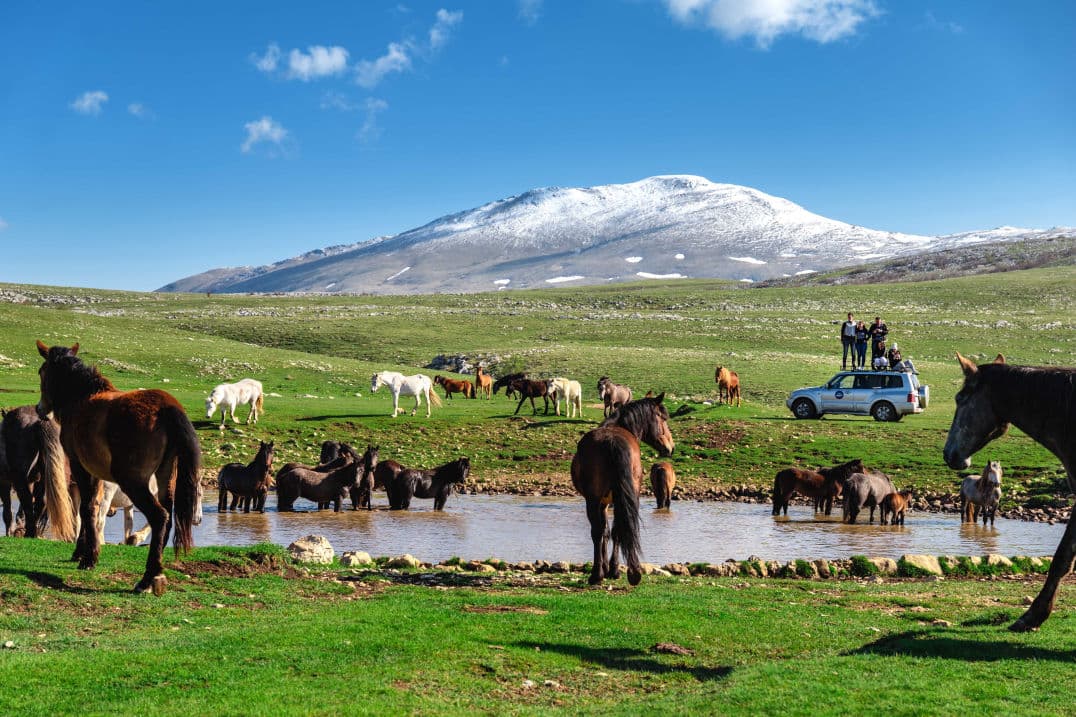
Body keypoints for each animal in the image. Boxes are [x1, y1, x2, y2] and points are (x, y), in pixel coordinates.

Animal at [0, 405, 72, 539]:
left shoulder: (4, 482)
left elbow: (8, 510)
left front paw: (9, 532)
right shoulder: (32, 481)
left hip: (20, 479)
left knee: (27, 500)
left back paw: (30, 532)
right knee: (41, 501)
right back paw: (34, 532)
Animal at [35, 341, 199, 593]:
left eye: (42, 372)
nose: (39, 409)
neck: (82, 398)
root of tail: (167, 408)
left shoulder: (81, 466)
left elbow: (87, 508)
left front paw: (88, 557)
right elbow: (91, 507)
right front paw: (82, 551)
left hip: (133, 481)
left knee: (159, 516)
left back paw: (148, 578)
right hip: (165, 476)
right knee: (168, 517)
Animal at [572, 394, 675, 586]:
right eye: (663, 418)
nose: (671, 447)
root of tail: (612, 441)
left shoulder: (603, 503)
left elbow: (604, 532)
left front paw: (604, 569)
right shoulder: (609, 502)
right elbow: (610, 532)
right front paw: (610, 569)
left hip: (593, 500)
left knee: (598, 532)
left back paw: (597, 574)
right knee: (619, 529)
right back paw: (628, 573)